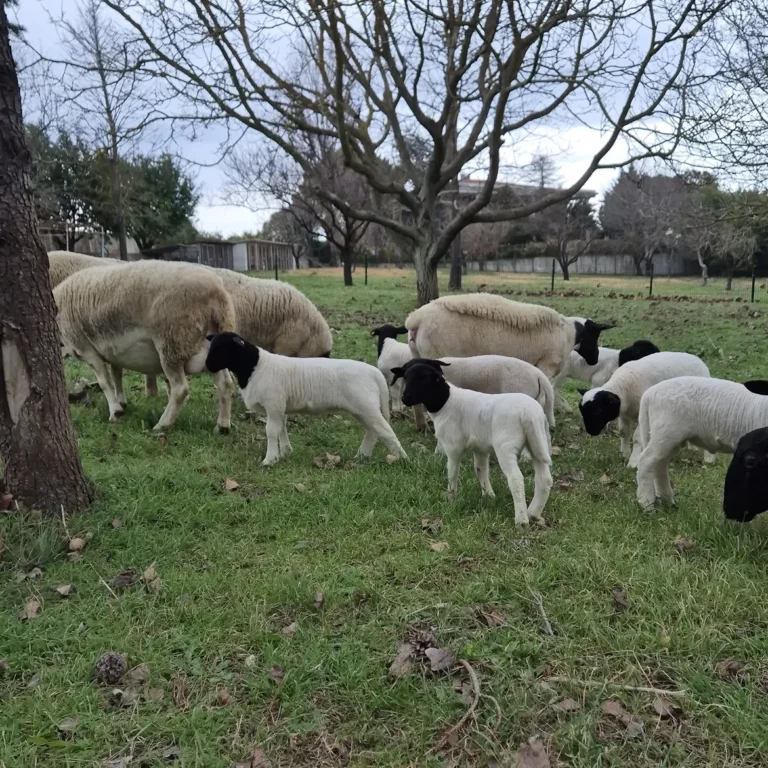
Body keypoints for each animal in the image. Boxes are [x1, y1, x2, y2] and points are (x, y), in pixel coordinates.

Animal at [54, 261, 236, 433]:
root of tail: (218, 294)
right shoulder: (113, 351)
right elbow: (116, 375)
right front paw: (121, 402)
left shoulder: (86, 349)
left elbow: (104, 382)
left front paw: (115, 412)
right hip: (212, 348)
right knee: (225, 384)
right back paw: (222, 426)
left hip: (172, 343)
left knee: (180, 389)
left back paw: (162, 425)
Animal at [205, 332, 407, 466]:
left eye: (223, 348)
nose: (207, 366)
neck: (254, 366)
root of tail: (375, 373)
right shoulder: (281, 407)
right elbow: (282, 429)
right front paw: (285, 453)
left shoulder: (273, 404)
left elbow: (271, 431)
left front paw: (269, 460)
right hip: (362, 408)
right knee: (373, 431)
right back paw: (362, 456)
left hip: (365, 406)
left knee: (385, 430)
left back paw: (402, 458)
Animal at [392, 359, 552, 525]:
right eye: (406, 377)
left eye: (423, 379)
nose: (405, 399)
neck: (445, 402)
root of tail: (529, 413)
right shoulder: (480, 448)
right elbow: (481, 470)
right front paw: (488, 495)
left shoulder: (453, 446)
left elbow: (452, 472)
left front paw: (451, 497)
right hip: (538, 442)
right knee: (544, 479)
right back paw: (533, 513)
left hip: (506, 446)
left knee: (516, 479)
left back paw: (521, 520)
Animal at [578, 351, 710, 467]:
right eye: (582, 411)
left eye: (598, 411)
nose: (591, 432)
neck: (624, 386)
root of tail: (699, 361)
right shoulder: (623, 414)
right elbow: (623, 432)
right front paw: (625, 454)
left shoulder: (641, 416)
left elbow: (637, 438)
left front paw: (633, 462)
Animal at [635, 377, 768, 509]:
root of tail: (648, 395)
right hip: (666, 431)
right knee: (647, 461)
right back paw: (647, 504)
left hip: (669, 438)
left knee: (660, 464)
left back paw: (667, 500)